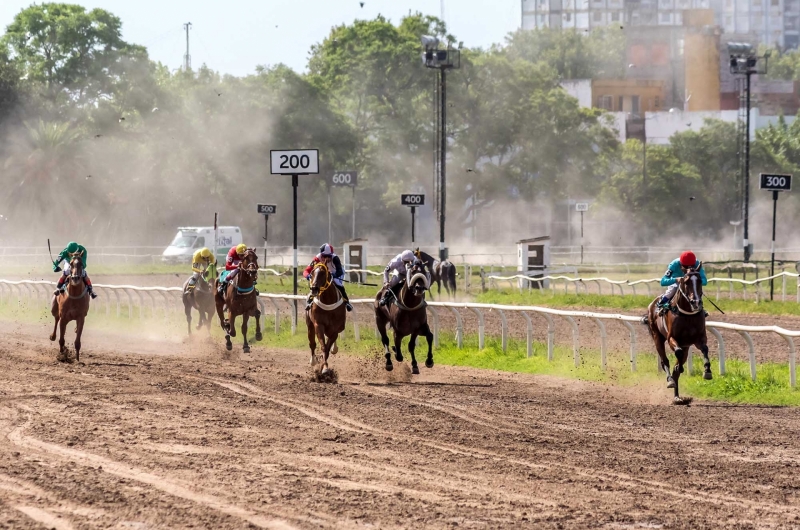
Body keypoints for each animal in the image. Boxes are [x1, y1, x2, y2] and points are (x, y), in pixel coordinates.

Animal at [644, 268, 712, 404]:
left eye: (700, 280)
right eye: (686, 282)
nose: (696, 302)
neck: (687, 314)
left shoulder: (699, 338)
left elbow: (705, 349)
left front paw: (707, 371)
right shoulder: (672, 338)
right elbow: (677, 353)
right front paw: (678, 369)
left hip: (686, 346)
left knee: (677, 365)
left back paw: (677, 397)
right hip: (657, 337)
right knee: (665, 361)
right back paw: (670, 380)